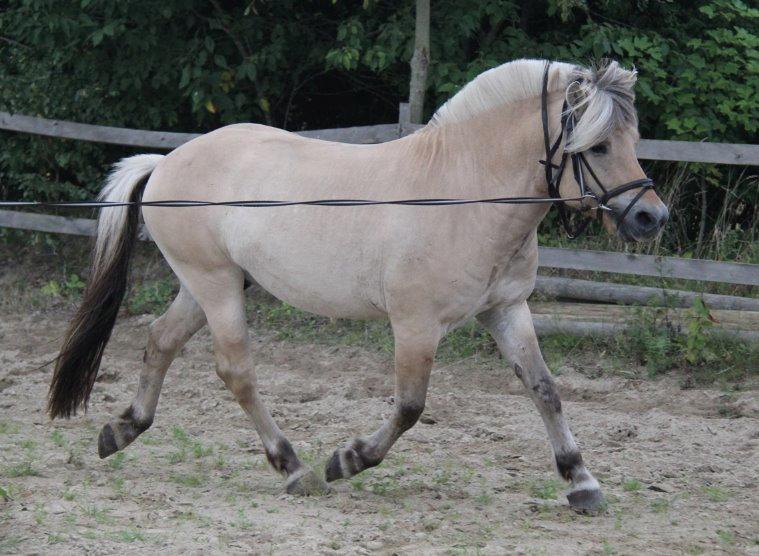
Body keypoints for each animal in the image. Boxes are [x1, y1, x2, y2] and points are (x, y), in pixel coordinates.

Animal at [47, 58, 668, 510]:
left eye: (632, 138)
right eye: (597, 145)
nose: (651, 218)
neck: (464, 192)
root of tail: (168, 160)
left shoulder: (506, 310)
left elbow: (545, 390)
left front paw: (582, 483)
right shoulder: (416, 325)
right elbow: (411, 407)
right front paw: (347, 459)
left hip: (210, 286)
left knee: (160, 340)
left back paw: (122, 430)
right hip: (215, 284)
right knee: (236, 371)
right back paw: (296, 469)